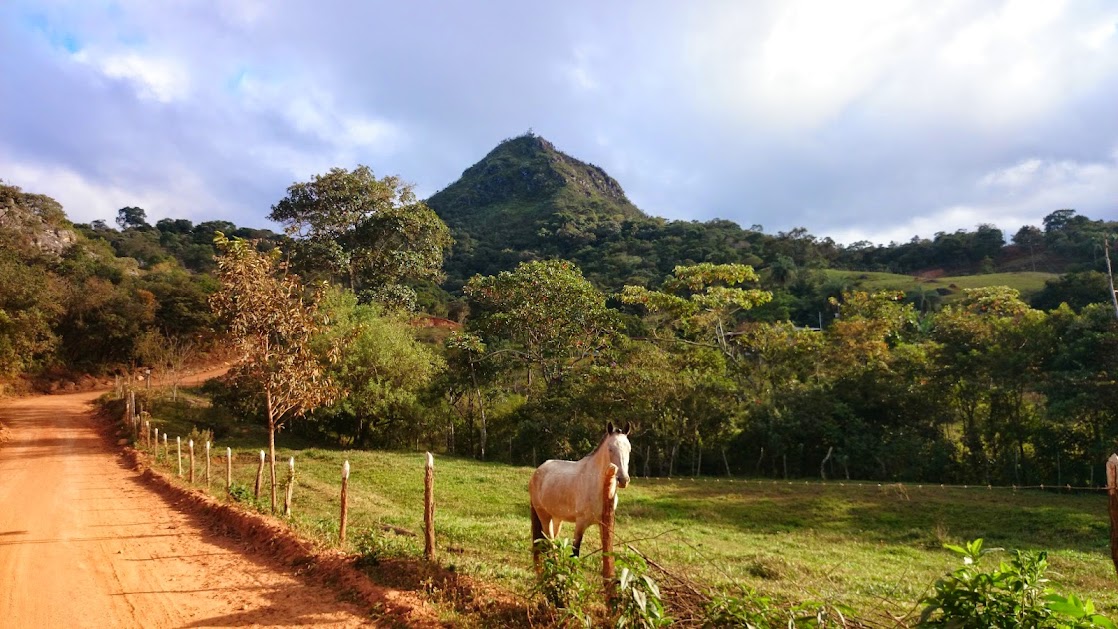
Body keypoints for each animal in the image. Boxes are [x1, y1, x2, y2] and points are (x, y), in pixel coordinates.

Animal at [525, 422, 630, 560]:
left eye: (629, 449)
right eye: (610, 449)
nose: (624, 480)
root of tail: (538, 471)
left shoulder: (605, 525)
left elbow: (606, 552)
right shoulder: (580, 523)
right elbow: (575, 552)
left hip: (557, 518)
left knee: (552, 540)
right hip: (544, 515)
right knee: (550, 540)